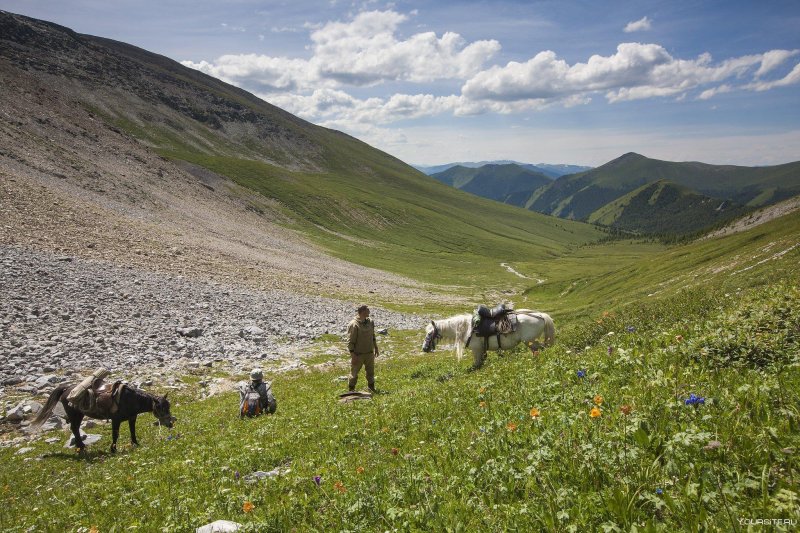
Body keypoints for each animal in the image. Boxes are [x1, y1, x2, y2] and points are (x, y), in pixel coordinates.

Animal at [32, 380, 175, 450]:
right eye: (161, 408)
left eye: (168, 406)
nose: (170, 424)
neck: (131, 399)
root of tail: (66, 389)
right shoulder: (116, 420)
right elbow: (115, 435)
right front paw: (113, 449)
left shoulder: (132, 418)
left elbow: (132, 431)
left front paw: (136, 444)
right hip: (75, 415)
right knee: (74, 428)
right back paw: (81, 446)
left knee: (75, 428)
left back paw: (80, 446)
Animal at [422, 310, 552, 368]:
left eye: (429, 333)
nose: (424, 348)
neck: (467, 328)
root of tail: (540, 315)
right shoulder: (481, 350)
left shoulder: (476, 350)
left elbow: (477, 364)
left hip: (530, 341)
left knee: (540, 350)